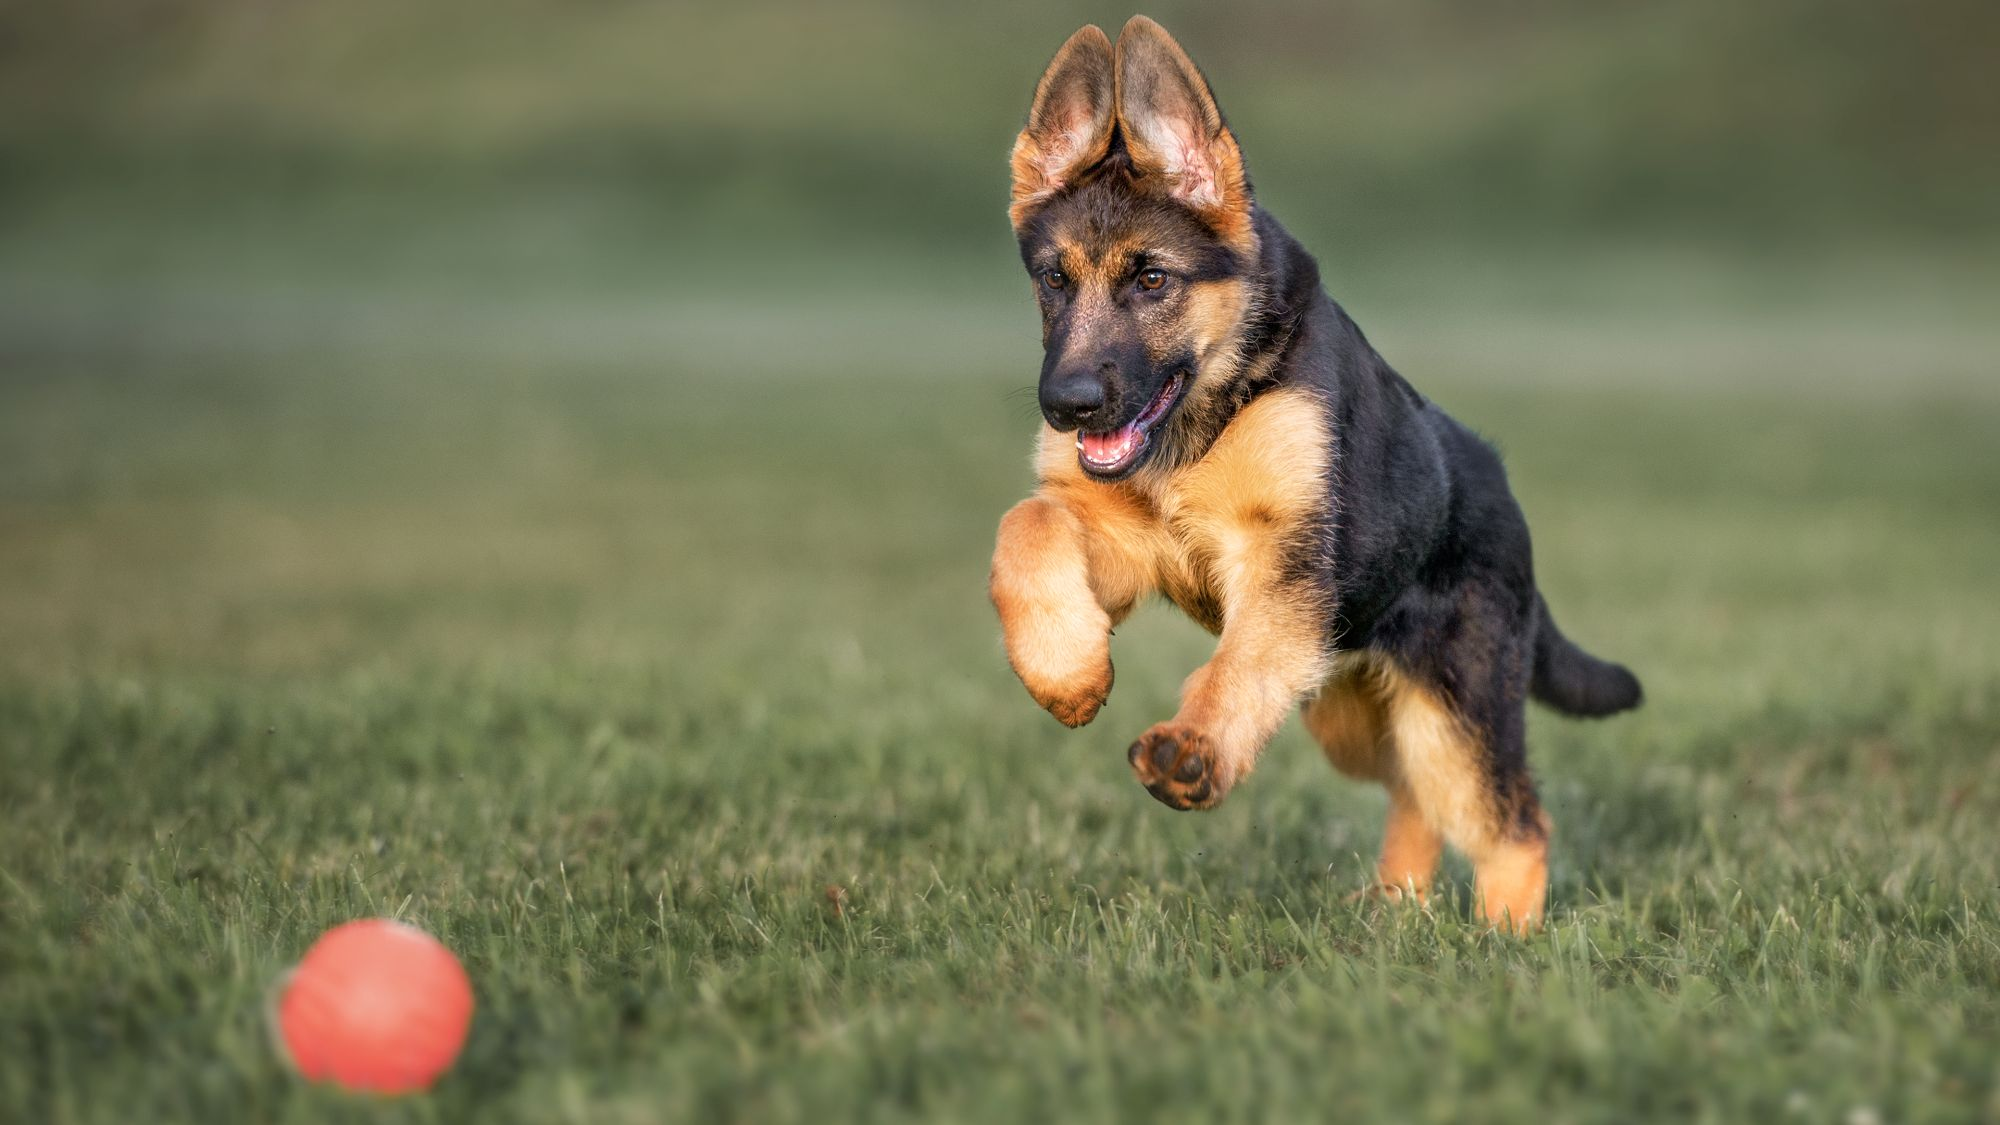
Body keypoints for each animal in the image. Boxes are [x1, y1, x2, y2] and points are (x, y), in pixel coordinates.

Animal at [988, 19, 1640, 928]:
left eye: (1152, 279)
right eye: (1054, 279)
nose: (1067, 405)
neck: (1208, 413)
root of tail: (1502, 487)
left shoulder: (1285, 566)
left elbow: (1239, 663)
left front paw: (1194, 747)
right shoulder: (1129, 543)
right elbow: (1026, 523)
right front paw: (1066, 672)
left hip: (1454, 702)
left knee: (1509, 815)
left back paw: (1505, 934)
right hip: (1348, 709)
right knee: (1412, 789)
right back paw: (1398, 903)